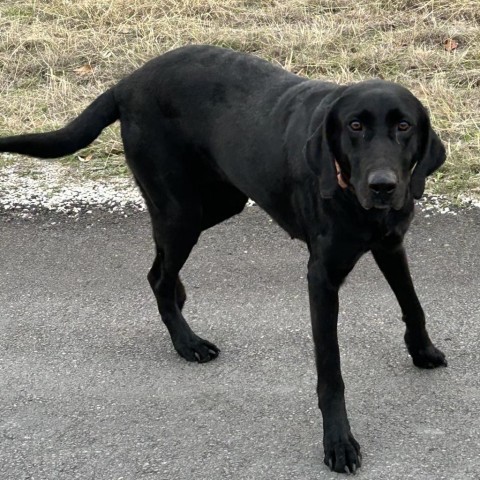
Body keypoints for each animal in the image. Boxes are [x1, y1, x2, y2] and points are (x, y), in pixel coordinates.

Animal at [0, 45, 450, 472]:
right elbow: (331, 371)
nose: (382, 186)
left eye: (404, 126)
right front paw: (338, 442)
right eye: (355, 126)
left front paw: (423, 350)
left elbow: (413, 303)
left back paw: (180, 301)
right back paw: (187, 342)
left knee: (158, 264)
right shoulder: (321, 277)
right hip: (182, 209)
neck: (351, 196)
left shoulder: (390, 244)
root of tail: (128, 82)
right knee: (159, 275)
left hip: (218, 201)